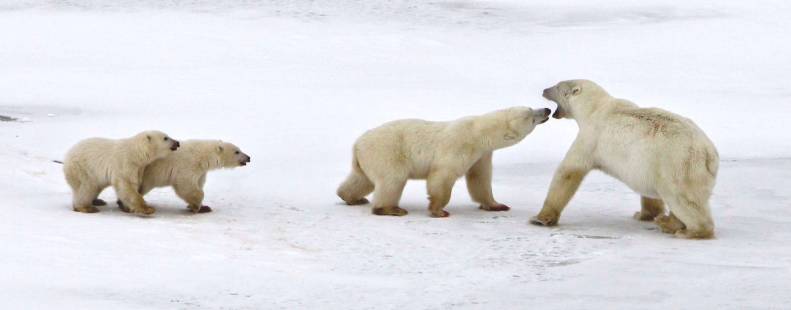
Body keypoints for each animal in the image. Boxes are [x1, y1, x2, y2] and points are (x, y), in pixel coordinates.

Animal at [117, 140, 251, 213]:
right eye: (237, 151)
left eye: (239, 149)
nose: (248, 157)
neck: (203, 156)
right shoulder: (188, 165)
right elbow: (186, 185)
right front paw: (197, 206)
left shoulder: (201, 172)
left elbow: (198, 184)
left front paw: (203, 206)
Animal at [336, 106, 552, 218]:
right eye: (531, 116)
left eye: (531, 109)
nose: (547, 109)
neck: (479, 132)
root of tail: (357, 144)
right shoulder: (459, 145)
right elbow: (443, 176)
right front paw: (439, 210)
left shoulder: (482, 154)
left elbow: (480, 180)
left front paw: (497, 205)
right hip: (387, 152)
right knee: (393, 179)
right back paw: (390, 208)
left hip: (368, 159)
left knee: (361, 180)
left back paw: (351, 197)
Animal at [528, 78, 720, 239]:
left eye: (558, 86)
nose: (544, 90)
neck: (595, 107)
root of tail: (708, 153)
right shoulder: (645, 164)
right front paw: (644, 214)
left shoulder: (591, 137)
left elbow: (569, 171)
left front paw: (539, 218)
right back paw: (667, 222)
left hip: (677, 164)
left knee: (682, 198)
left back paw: (690, 231)